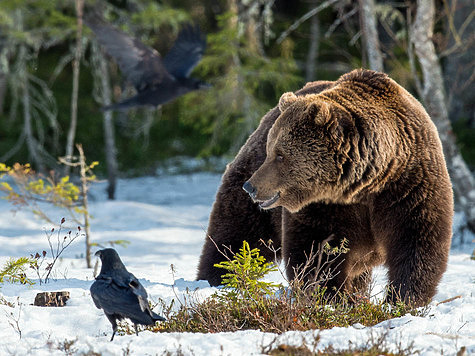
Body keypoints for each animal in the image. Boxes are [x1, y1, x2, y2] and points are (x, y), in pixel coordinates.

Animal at [197, 69, 454, 306]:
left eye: (280, 155)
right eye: (271, 151)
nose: (250, 186)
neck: (366, 183)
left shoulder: (409, 185)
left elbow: (418, 239)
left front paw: (403, 298)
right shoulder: (325, 205)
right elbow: (317, 249)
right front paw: (331, 297)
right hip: (252, 192)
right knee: (237, 236)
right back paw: (217, 278)